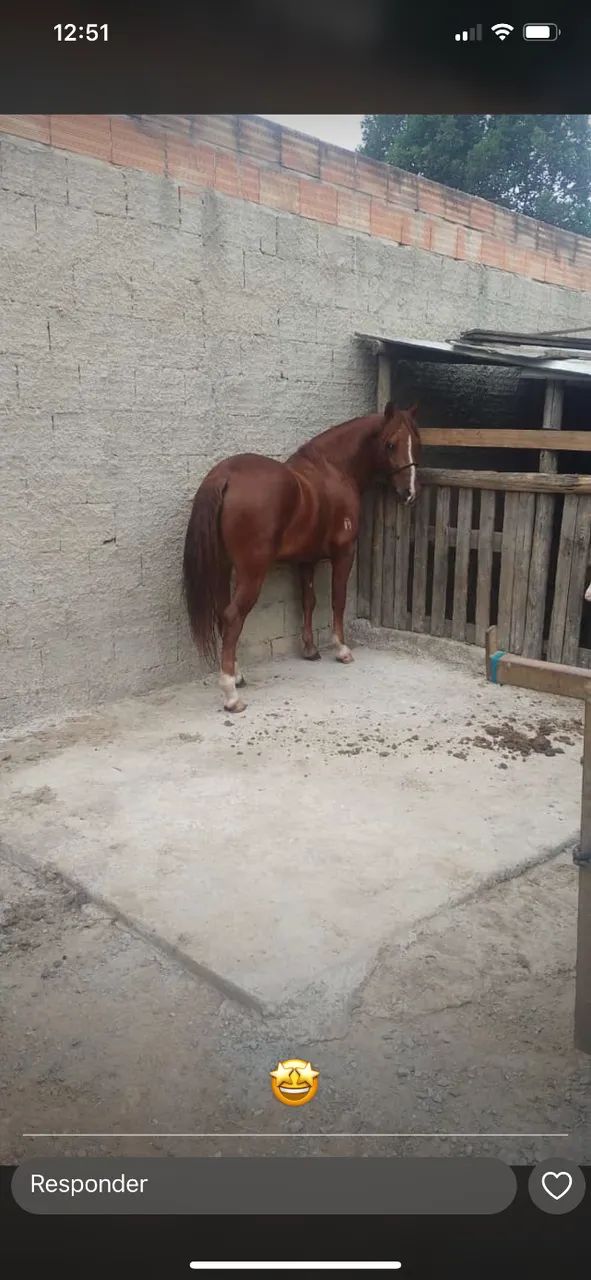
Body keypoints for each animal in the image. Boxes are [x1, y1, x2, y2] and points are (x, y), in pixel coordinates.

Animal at [182, 402, 421, 711]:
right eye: (391, 444)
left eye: (415, 442)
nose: (409, 493)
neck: (333, 471)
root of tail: (226, 475)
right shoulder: (344, 553)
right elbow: (338, 599)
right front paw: (341, 649)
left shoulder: (306, 560)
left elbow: (309, 601)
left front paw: (309, 649)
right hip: (252, 572)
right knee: (234, 616)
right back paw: (231, 694)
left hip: (224, 568)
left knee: (223, 614)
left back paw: (237, 675)